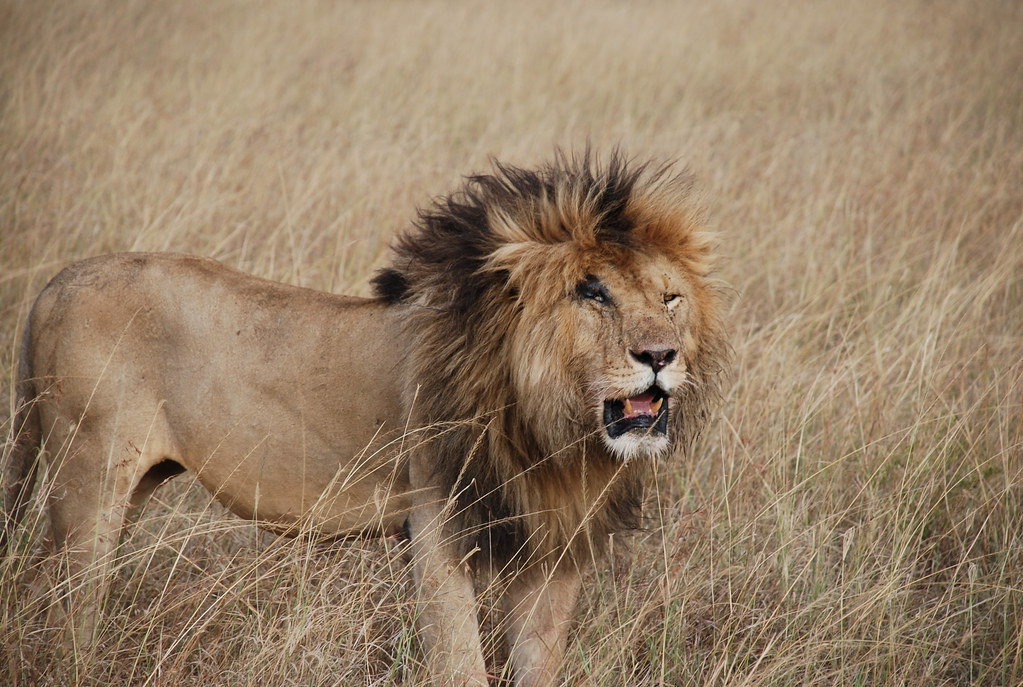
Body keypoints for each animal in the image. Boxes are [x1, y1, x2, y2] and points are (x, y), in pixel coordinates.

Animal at [4, 151, 729, 686]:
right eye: (592, 292)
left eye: (670, 298)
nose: (659, 356)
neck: (551, 430)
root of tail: (53, 285)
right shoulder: (437, 523)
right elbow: (460, 663)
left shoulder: (554, 545)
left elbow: (537, 664)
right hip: (88, 477)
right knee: (61, 611)